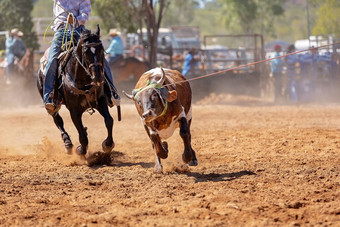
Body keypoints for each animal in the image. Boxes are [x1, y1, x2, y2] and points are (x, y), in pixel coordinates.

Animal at [36, 24, 115, 156]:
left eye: (102, 49)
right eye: (85, 51)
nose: (98, 77)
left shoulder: (100, 100)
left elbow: (109, 120)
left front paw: (108, 145)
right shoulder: (74, 110)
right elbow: (82, 136)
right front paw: (81, 150)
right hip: (51, 102)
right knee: (58, 120)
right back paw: (67, 143)